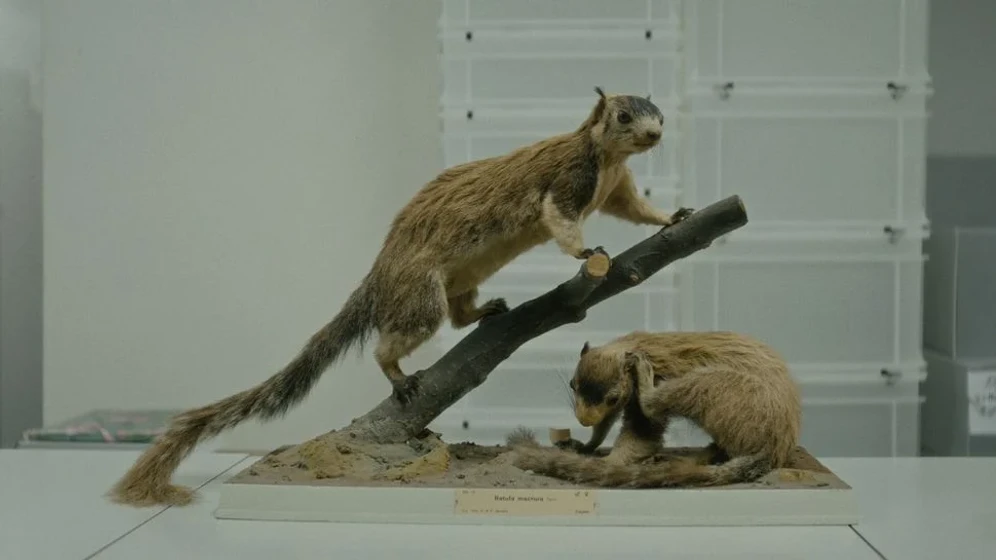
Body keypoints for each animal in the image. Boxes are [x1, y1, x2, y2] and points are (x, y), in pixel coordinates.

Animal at [108, 88, 689, 506]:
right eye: (622, 115)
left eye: (659, 112)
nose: (656, 133)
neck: (606, 162)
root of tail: (379, 277)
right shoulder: (566, 185)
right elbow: (563, 224)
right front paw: (588, 251)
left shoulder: (617, 190)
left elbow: (638, 210)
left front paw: (674, 217)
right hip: (418, 297)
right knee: (394, 341)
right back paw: (399, 377)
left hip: (459, 282)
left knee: (458, 317)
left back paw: (488, 311)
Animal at [507, 330, 802, 488]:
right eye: (572, 385)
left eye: (613, 397)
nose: (583, 420)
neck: (631, 347)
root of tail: (774, 450)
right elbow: (605, 425)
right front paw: (587, 445)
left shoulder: (640, 392)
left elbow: (642, 435)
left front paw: (606, 463)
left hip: (717, 383)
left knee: (655, 402)